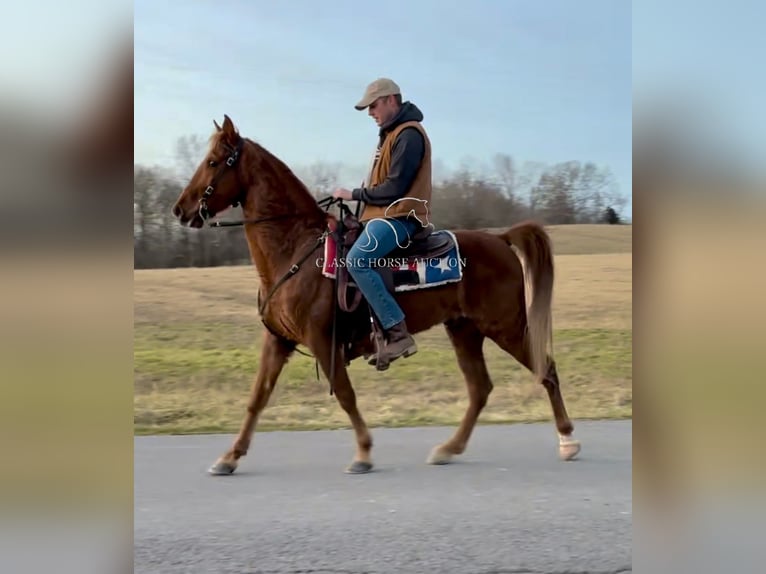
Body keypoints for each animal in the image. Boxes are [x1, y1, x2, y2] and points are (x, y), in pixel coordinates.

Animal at [172, 113, 584, 476]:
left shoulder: (322, 341)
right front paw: (229, 457)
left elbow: (345, 395)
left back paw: (567, 440)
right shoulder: (278, 341)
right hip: (465, 330)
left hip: (506, 326)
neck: (295, 249)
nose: (180, 209)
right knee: (480, 388)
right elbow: (257, 398)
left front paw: (364, 453)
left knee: (545, 369)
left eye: (213, 162)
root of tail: (500, 238)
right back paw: (448, 449)